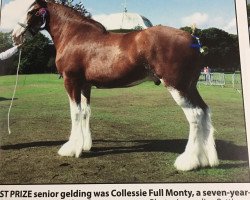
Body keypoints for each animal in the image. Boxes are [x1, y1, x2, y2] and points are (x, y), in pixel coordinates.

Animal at [12, 0, 219, 172]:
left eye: (31, 11)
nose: (14, 36)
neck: (74, 35)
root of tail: (193, 40)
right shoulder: (85, 85)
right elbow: (85, 113)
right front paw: (85, 145)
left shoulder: (71, 82)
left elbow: (75, 113)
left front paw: (71, 149)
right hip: (190, 87)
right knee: (204, 111)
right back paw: (207, 159)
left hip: (177, 86)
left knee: (195, 115)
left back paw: (187, 162)